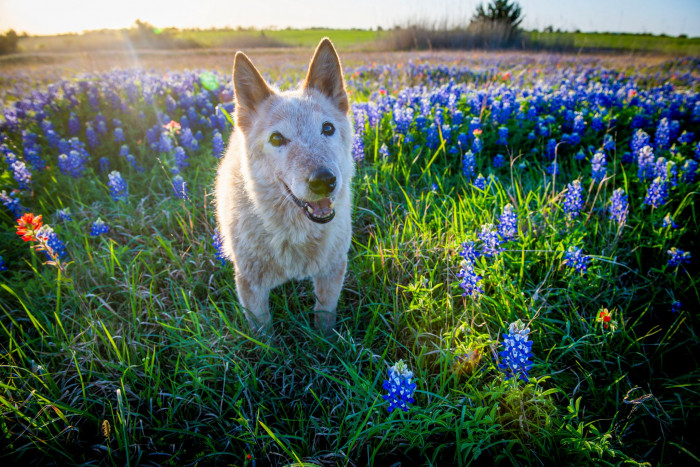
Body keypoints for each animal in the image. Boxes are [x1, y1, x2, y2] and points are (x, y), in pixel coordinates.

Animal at [215, 37, 356, 336]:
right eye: (277, 138)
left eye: (327, 128)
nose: (324, 181)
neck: (295, 233)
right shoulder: (250, 284)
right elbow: (263, 334)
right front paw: (268, 349)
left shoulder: (332, 269)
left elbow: (324, 318)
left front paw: (326, 343)